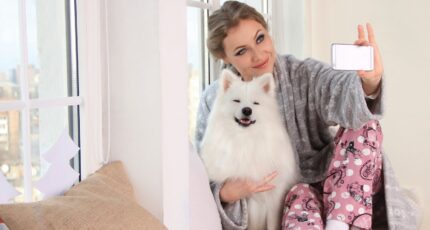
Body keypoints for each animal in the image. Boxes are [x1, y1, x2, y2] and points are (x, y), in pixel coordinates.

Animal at [201, 69, 298, 229]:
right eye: (236, 101)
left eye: (256, 103)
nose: (247, 110)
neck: (245, 137)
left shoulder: (275, 197)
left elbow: (273, 223)